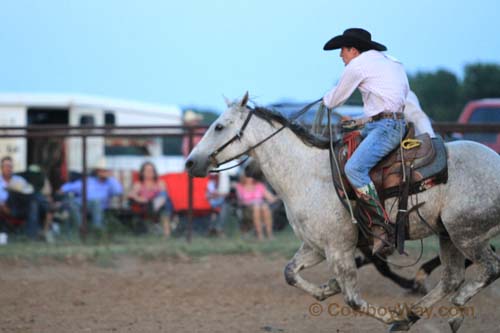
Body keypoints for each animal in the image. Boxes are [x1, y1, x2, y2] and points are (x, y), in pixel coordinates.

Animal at [186, 92, 500, 330]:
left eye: (219, 126)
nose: (190, 162)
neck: (308, 174)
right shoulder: (315, 245)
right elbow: (290, 273)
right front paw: (328, 288)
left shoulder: (339, 247)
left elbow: (352, 298)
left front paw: (386, 313)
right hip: (449, 234)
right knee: (451, 278)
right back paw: (413, 315)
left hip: (465, 233)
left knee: (489, 268)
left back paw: (450, 309)